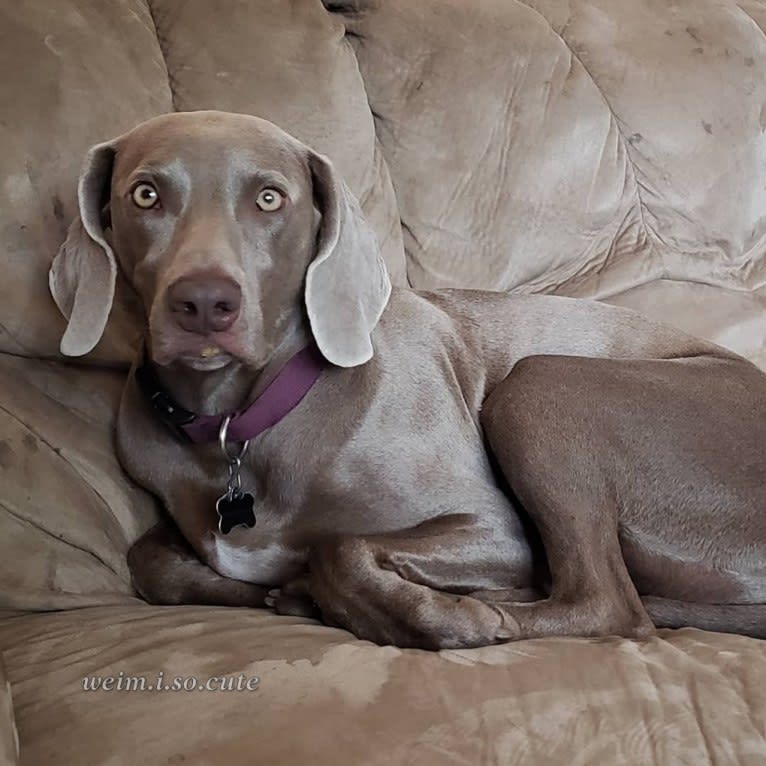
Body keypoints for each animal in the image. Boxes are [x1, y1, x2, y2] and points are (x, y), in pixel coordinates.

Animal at [49, 109, 766, 648]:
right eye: (145, 194)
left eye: (269, 198)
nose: (203, 303)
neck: (240, 422)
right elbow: (151, 560)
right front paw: (281, 591)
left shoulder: (494, 528)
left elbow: (337, 549)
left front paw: (406, 609)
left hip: (540, 386)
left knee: (610, 604)